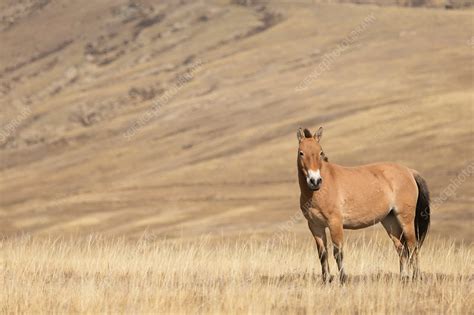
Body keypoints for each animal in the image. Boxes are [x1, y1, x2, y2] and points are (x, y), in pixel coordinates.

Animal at [298, 127, 432, 286]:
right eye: (301, 153)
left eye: (320, 152)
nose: (315, 181)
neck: (320, 191)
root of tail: (409, 171)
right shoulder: (315, 226)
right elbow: (322, 254)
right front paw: (326, 281)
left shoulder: (335, 224)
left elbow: (338, 253)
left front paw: (343, 280)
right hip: (390, 221)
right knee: (401, 248)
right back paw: (403, 278)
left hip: (405, 219)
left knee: (412, 247)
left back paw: (416, 278)